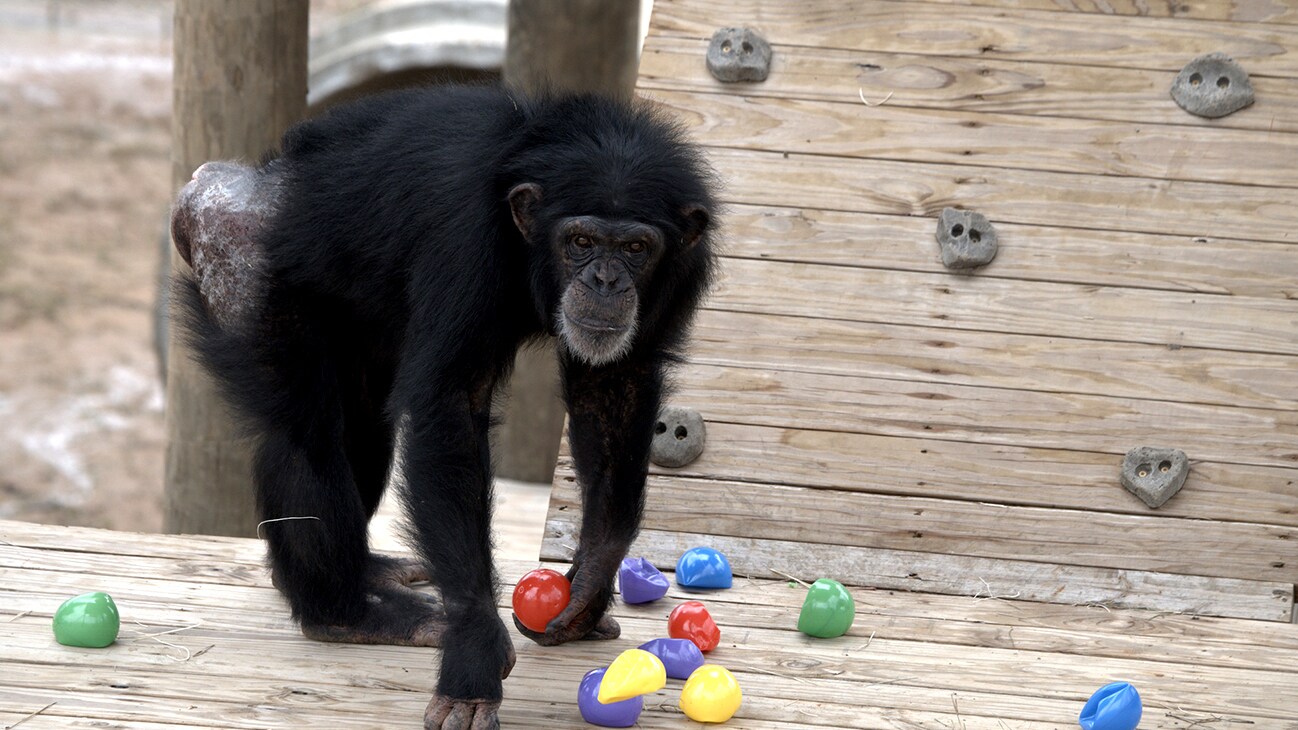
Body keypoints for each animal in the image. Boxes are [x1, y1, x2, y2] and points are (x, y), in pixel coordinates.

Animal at [167, 82, 721, 722]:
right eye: (581, 241)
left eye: (635, 247)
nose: (605, 280)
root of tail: (216, 180)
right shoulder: (465, 239)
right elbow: (449, 408)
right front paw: (474, 658)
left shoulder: (677, 273)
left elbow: (614, 386)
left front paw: (588, 585)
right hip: (241, 260)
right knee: (306, 435)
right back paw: (347, 615)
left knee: (363, 429)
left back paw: (367, 574)